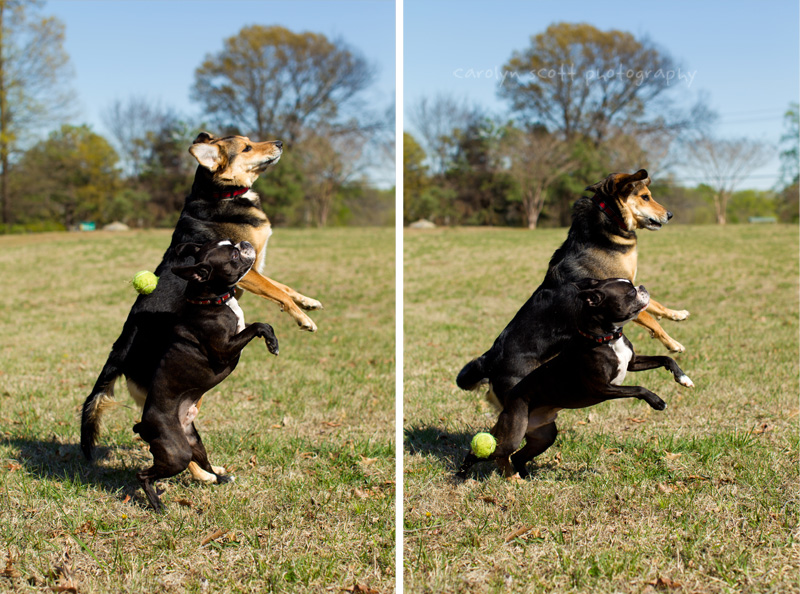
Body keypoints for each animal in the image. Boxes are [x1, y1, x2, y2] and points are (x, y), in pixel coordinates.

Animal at [79, 131, 320, 480]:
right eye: (247, 147)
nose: (279, 143)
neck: (220, 193)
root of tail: (119, 352)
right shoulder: (247, 272)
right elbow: (278, 292)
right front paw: (302, 318)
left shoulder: (254, 270)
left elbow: (284, 287)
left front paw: (308, 302)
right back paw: (203, 475)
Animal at [134, 237, 278, 508]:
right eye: (233, 255)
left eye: (232, 244)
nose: (244, 242)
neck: (210, 301)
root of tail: (143, 425)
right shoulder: (224, 350)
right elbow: (257, 325)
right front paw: (271, 342)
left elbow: (263, 324)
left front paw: (272, 342)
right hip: (177, 453)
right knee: (144, 475)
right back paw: (157, 505)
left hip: (194, 443)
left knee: (206, 463)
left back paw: (222, 479)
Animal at [460, 166, 692, 408]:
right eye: (645, 197)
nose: (670, 214)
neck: (609, 219)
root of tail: (488, 361)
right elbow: (650, 318)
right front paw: (673, 343)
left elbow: (655, 305)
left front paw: (677, 314)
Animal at [460, 280, 692, 478]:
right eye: (630, 293)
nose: (641, 286)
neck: (606, 339)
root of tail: (508, 401)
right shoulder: (602, 388)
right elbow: (638, 388)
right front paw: (657, 401)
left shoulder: (632, 362)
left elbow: (666, 358)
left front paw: (683, 378)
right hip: (512, 435)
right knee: (486, 452)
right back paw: (463, 474)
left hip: (544, 436)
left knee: (518, 457)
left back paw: (525, 477)